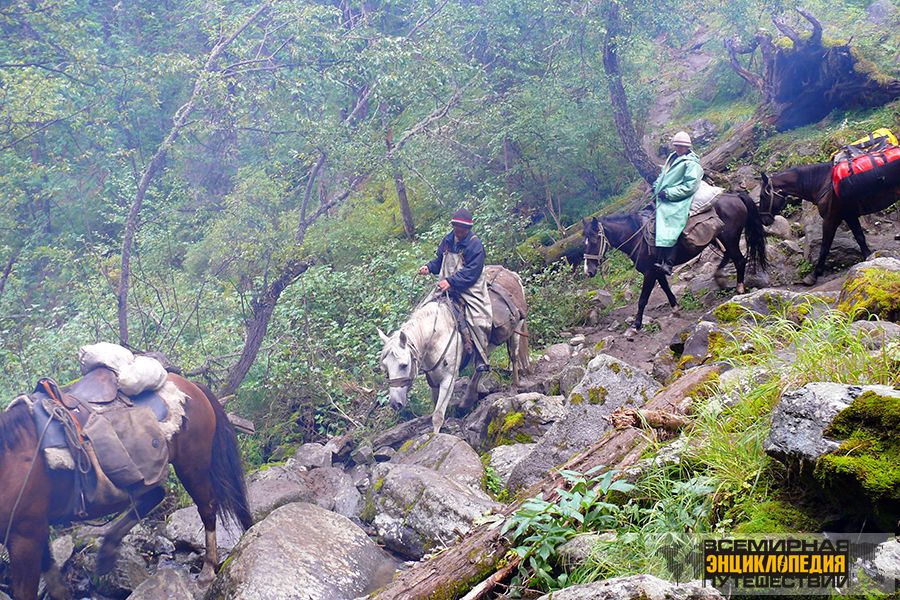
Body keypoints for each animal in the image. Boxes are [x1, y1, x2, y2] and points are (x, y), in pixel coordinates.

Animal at [0, 372, 253, 596]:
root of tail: (191, 385)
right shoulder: (35, 529)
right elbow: (54, 581)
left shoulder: (26, 533)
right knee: (156, 495)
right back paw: (107, 551)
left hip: (192, 464)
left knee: (207, 507)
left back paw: (208, 572)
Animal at [584, 193, 768, 328]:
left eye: (593, 240)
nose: (588, 271)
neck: (637, 235)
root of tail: (735, 196)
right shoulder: (656, 270)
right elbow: (665, 287)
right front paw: (675, 309)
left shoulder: (649, 272)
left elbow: (643, 299)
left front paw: (636, 325)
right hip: (721, 239)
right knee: (729, 256)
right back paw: (719, 277)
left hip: (730, 238)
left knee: (740, 261)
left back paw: (739, 288)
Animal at [760, 163, 900, 284]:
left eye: (762, 196)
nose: (764, 220)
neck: (822, 183)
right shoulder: (849, 215)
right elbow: (860, 237)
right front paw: (869, 258)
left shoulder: (831, 219)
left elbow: (825, 247)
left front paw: (814, 275)